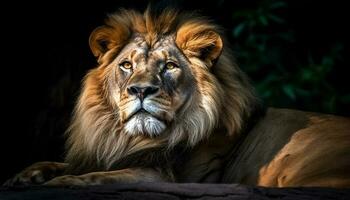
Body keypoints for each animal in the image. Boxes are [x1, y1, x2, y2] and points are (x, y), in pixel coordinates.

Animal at [4, 7, 350, 188]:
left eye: (169, 66)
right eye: (126, 65)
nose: (141, 90)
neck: (134, 139)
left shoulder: (170, 177)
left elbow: (101, 177)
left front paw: (59, 183)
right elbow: (64, 163)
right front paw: (23, 176)